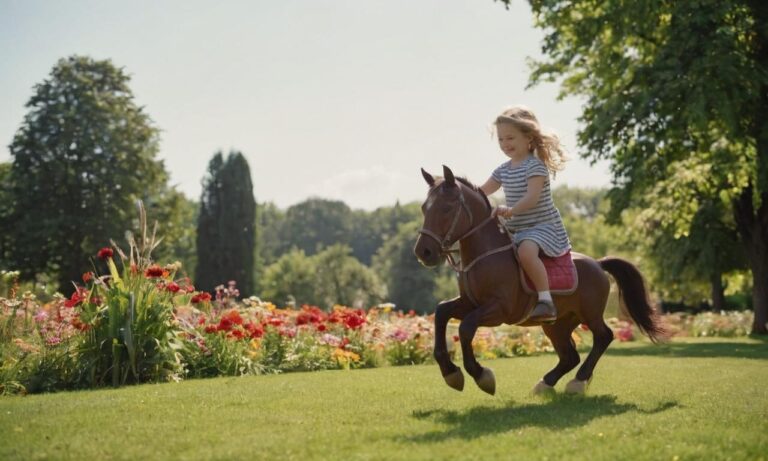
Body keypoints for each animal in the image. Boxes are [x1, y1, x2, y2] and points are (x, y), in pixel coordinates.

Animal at [414, 166, 664, 396]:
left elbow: (466, 328)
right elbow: (441, 312)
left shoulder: (499, 310)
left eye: (446, 208)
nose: (423, 252)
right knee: (570, 355)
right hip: (557, 324)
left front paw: (481, 375)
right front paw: (450, 373)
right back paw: (546, 383)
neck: (483, 256)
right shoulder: (469, 303)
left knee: (603, 337)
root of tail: (598, 263)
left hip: (589, 314)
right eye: (424, 208)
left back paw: (578, 381)